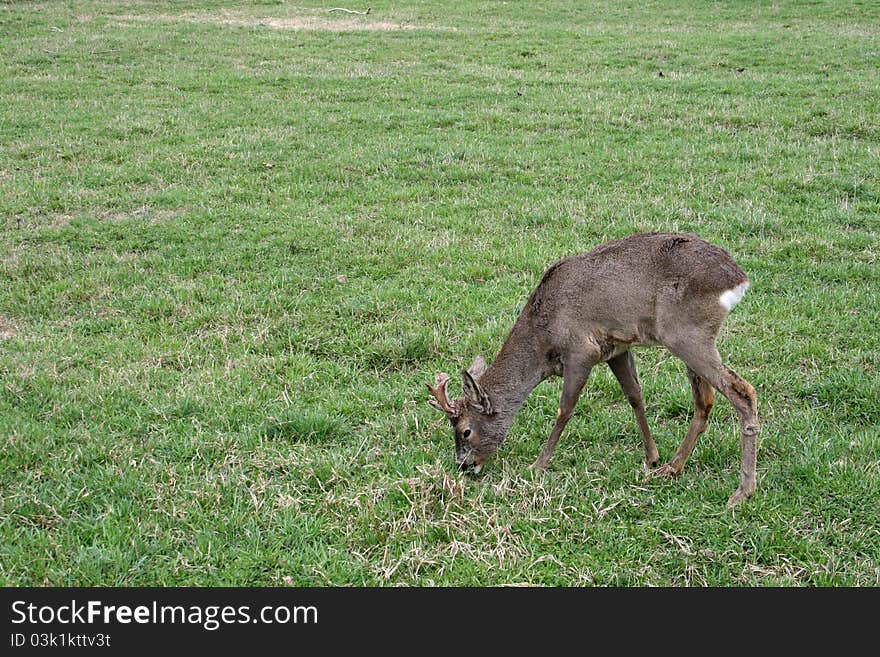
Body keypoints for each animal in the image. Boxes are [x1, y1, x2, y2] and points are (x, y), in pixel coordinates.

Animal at [426, 232, 756, 508]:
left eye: (465, 430)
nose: (463, 465)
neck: (543, 339)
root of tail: (738, 279)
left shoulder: (581, 351)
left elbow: (565, 409)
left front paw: (537, 465)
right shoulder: (616, 348)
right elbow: (635, 397)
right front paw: (651, 457)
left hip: (686, 334)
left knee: (743, 391)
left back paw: (742, 492)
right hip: (689, 338)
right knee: (705, 401)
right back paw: (671, 468)